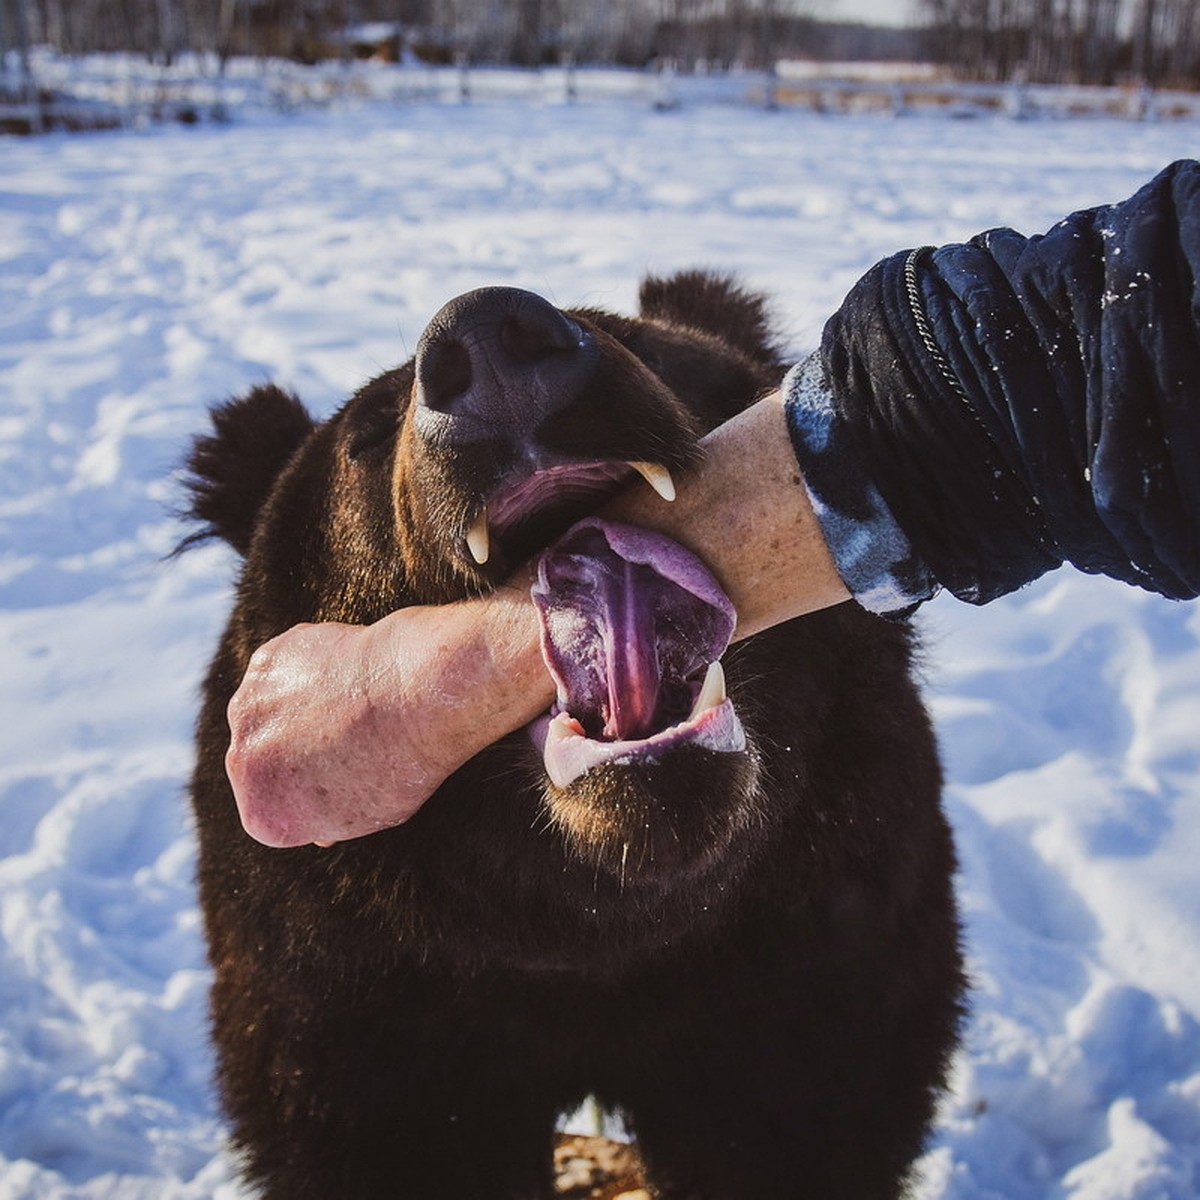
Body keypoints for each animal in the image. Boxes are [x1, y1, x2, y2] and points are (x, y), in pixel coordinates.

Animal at [180, 274, 964, 1200]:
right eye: (364, 438)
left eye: (646, 343)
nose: (488, 340)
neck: (593, 929)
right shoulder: (356, 998)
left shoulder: (805, 952)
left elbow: (805, 1113)